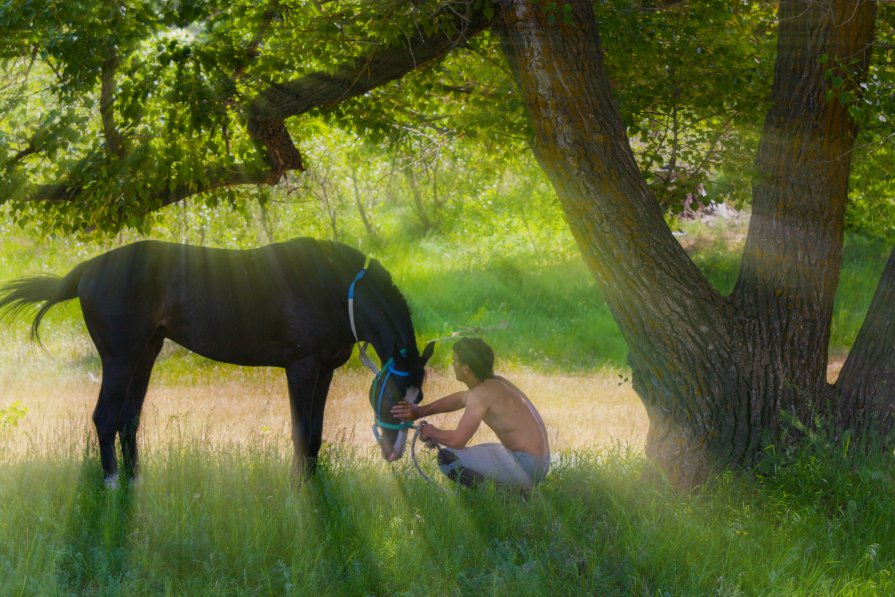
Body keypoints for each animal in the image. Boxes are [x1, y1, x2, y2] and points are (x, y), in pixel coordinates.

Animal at [0, 236, 434, 484]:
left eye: (419, 397)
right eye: (392, 394)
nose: (394, 452)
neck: (334, 287)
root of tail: (87, 270)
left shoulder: (324, 371)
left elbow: (315, 434)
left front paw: (314, 485)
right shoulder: (302, 368)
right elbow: (301, 433)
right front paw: (299, 491)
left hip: (145, 355)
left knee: (127, 420)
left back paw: (135, 483)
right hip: (119, 358)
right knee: (105, 419)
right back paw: (109, 487)